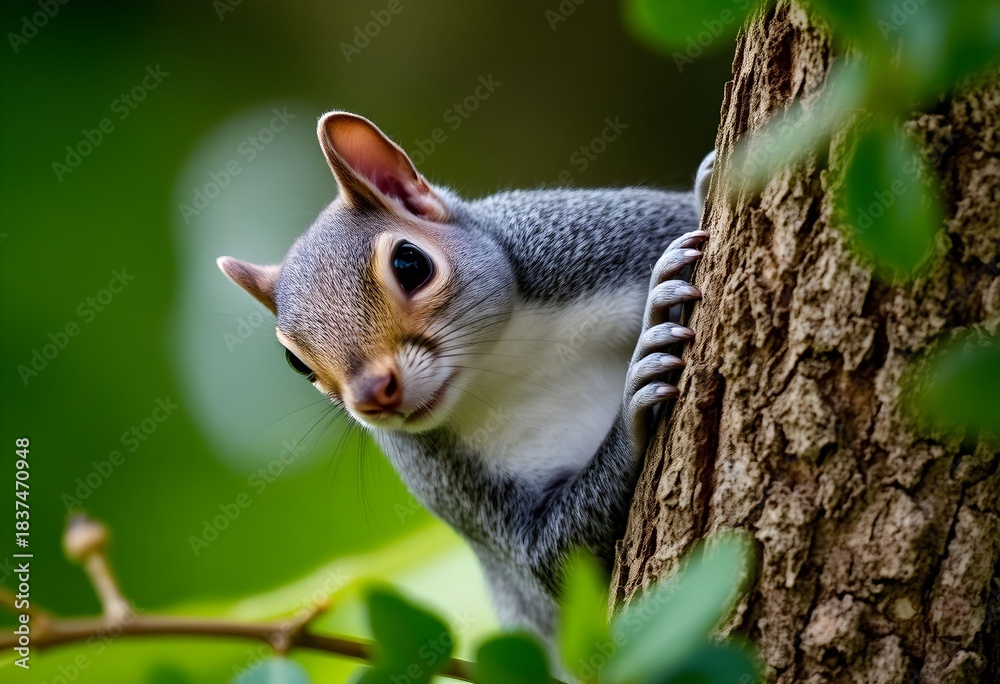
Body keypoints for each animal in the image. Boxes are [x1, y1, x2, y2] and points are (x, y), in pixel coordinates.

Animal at [218, 111, 714, 644]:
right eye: (297, 363)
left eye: (410, 263)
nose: (372, 396)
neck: (505, 362)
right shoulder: (451, 485)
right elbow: (551, 557)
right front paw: (631, 406)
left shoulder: (594, 242)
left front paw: (705, 190)